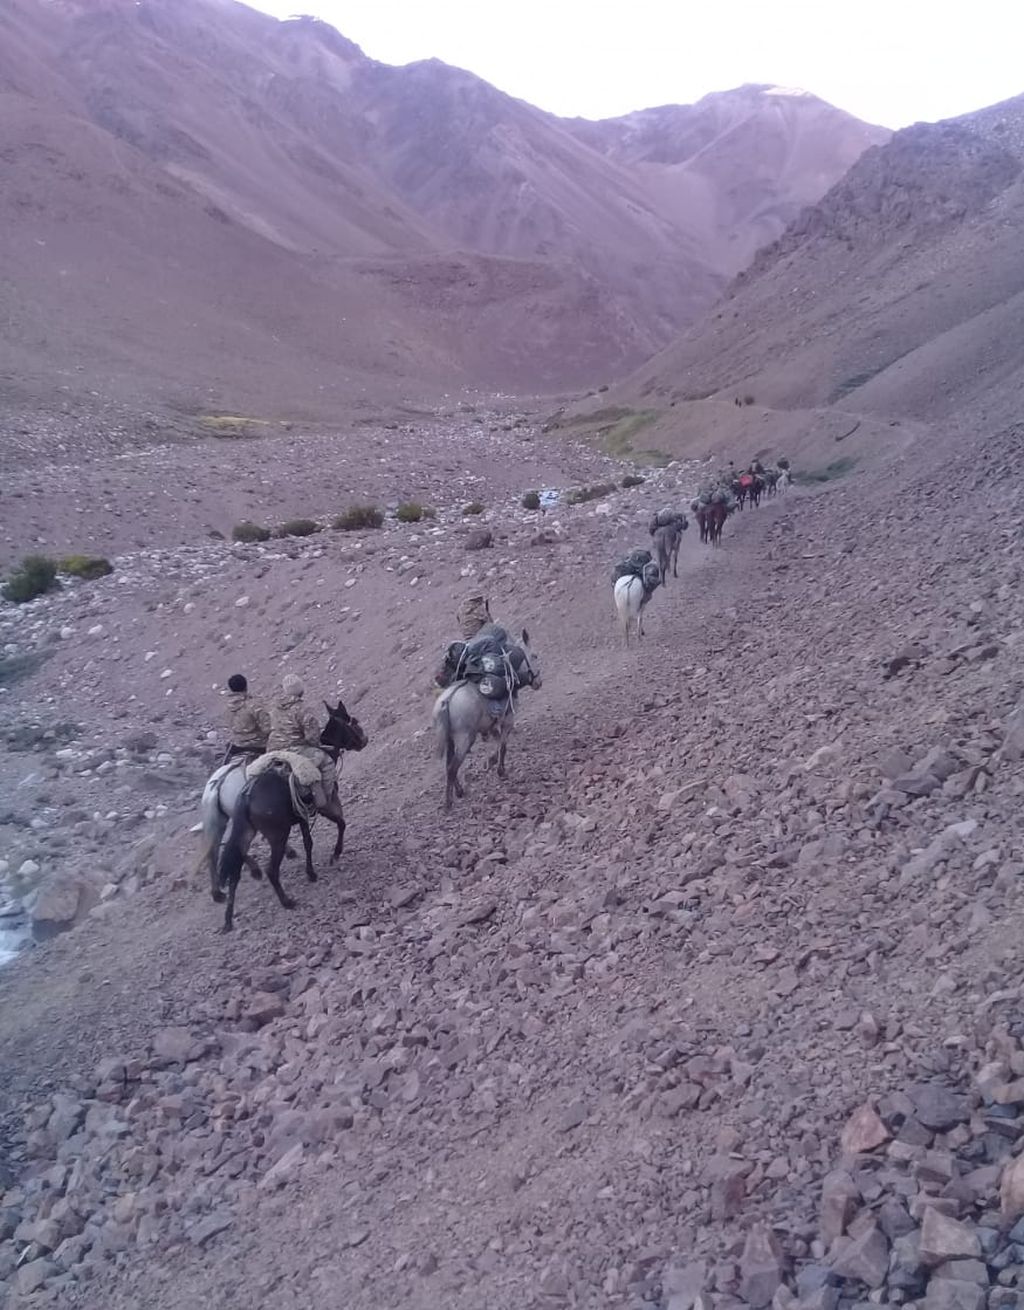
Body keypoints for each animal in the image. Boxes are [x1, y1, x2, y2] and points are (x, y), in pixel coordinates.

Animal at [199, 702, 366, 906]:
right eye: (352, 721)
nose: (363, 741)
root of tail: (218, 783)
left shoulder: (302, 816)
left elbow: (309, 841)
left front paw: (311, 870)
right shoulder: (324, 804)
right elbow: (339, 824)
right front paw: (333, 855)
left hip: (233, 822)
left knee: (221, 848)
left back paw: (223, 889)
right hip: (272, 832)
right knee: (258, 861)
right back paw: (281, 895)